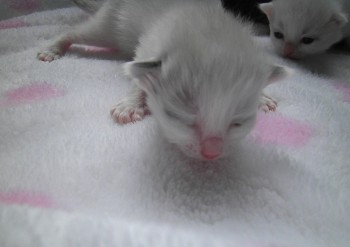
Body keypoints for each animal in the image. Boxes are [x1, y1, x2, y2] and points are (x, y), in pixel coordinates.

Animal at [37, 0, 290, 160]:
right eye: (182, 118)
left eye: (238, 122)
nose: (211, 152)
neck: (208, 32)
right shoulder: (149, 45)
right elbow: (138, 75)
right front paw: (130, 105)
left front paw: (264, 97)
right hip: (111, 25)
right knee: (77, 31)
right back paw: (52, 48)